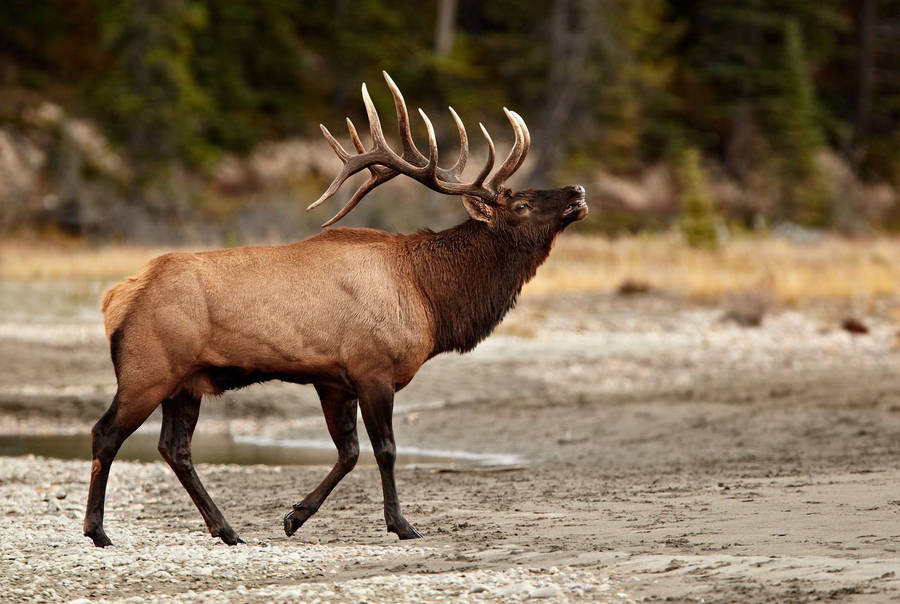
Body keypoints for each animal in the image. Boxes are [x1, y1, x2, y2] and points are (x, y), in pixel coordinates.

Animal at [83, 72, 588, 547]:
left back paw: (226, 529)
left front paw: (294, 516)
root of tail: (116, 298)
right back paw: (98, 530)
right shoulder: (372, 368)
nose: (578, 191)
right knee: (107, 433)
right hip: (149, 368)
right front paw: (401, 524)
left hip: (187, 381)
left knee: (175, 448)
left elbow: (348, 452)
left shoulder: (333, 380)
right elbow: (385, 449)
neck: (429, 299)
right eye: (521, 204)